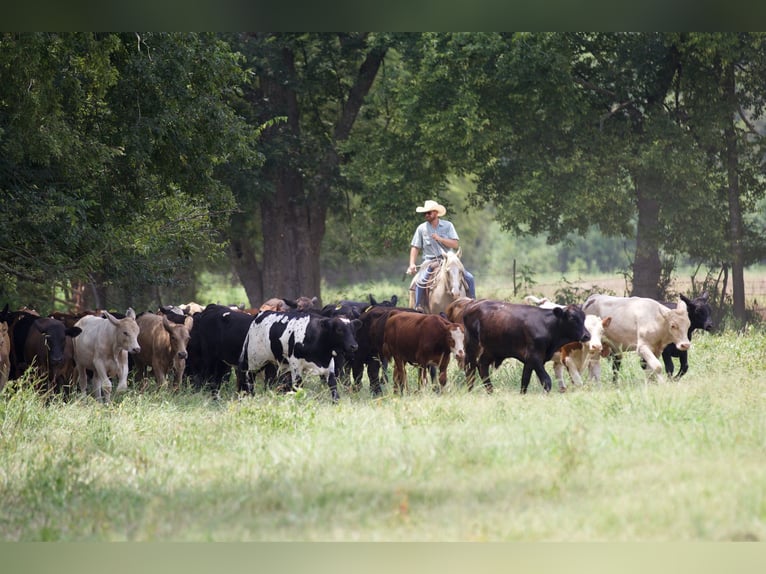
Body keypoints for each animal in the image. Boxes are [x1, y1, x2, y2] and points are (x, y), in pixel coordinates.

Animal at [462, 300, 592, 394]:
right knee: (470, 368)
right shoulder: (535, 357)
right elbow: (546, 381)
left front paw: (522, 395)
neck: (548, 326)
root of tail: (472, 304)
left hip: (492, 349)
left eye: (584, 317)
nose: (587, 335)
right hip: (472, 345)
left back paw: (490, 391)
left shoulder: (530, 360)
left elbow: (525, 380)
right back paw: (470, 390)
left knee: (482, 365)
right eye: (572, 318)